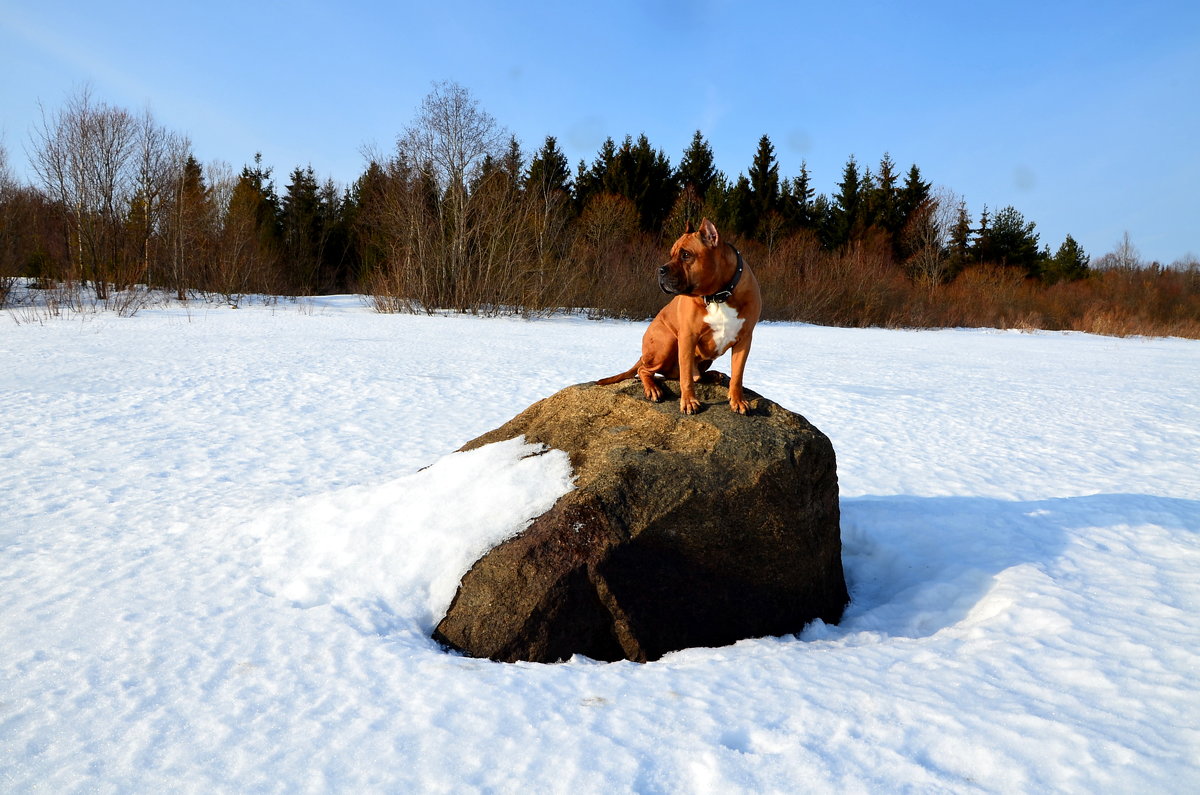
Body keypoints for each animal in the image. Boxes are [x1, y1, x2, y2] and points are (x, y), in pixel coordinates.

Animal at [597, 218, 758, 417]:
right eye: (671, 255)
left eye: (686, 255)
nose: (660, 270)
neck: (719, 294)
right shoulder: (688, 337)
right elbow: (686, 377)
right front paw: (689, 402)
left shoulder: (744, 340)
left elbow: (737, 375)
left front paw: (738, 400)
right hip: (666, 343)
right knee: (645, 370)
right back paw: (653, 389)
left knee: (693, 375)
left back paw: (713, 375)